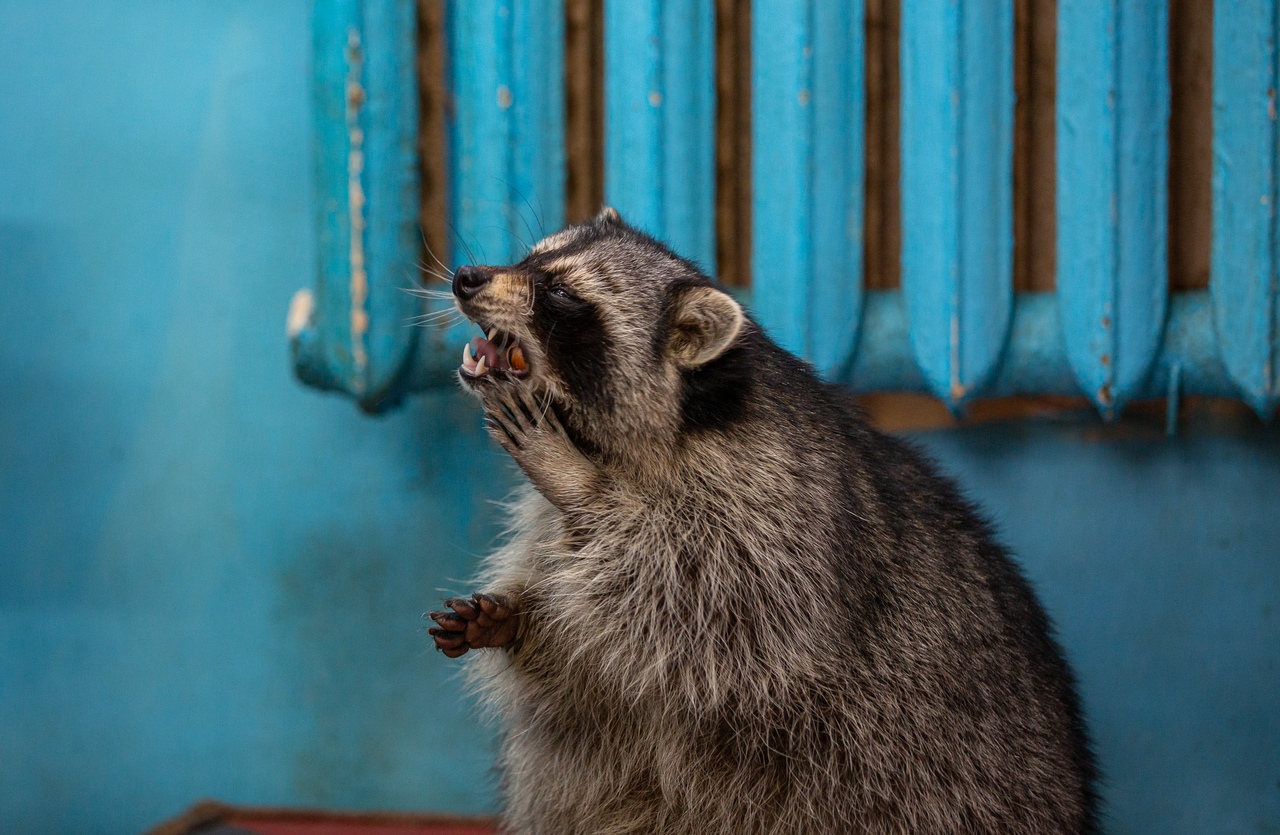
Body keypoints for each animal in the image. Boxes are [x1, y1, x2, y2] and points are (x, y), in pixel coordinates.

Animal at [430, 210, 1100, 835]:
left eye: (562, 294)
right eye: (531, 258)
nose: (468, 277)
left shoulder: (774, 518)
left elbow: (694, 608)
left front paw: (578, 484)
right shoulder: (551, 526)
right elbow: (589, 665)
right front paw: (518, 616)